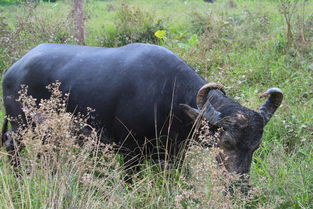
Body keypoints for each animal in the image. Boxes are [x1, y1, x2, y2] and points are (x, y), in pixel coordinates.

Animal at [1, 43, 282, 175]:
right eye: (226, 143)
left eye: (255, 146)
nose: (239, 186)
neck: (167, 95)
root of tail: (12, 71)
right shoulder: (129, 153)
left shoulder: (174, 153)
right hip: (20, 125)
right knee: (11, 145)